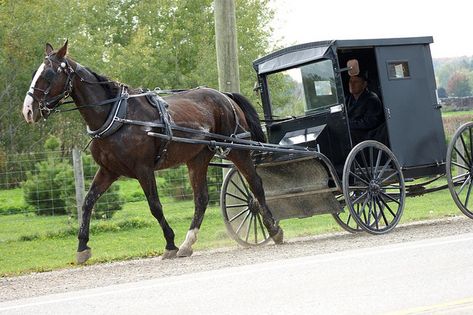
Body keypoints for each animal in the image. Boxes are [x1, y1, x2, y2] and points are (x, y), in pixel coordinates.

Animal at [22, 41, 282, 264]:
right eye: (36, 73)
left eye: (48, 75)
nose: (27, 111)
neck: (117, 116)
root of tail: (225, 97)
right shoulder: (108, 171)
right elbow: (87, 203)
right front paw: (82, 247)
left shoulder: (143, 169)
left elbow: (155, 206)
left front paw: (169, 244)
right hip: (197, 158)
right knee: (201, 199)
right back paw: (188, 243)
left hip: (237, 150)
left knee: (256, 185)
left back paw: (274, 229)